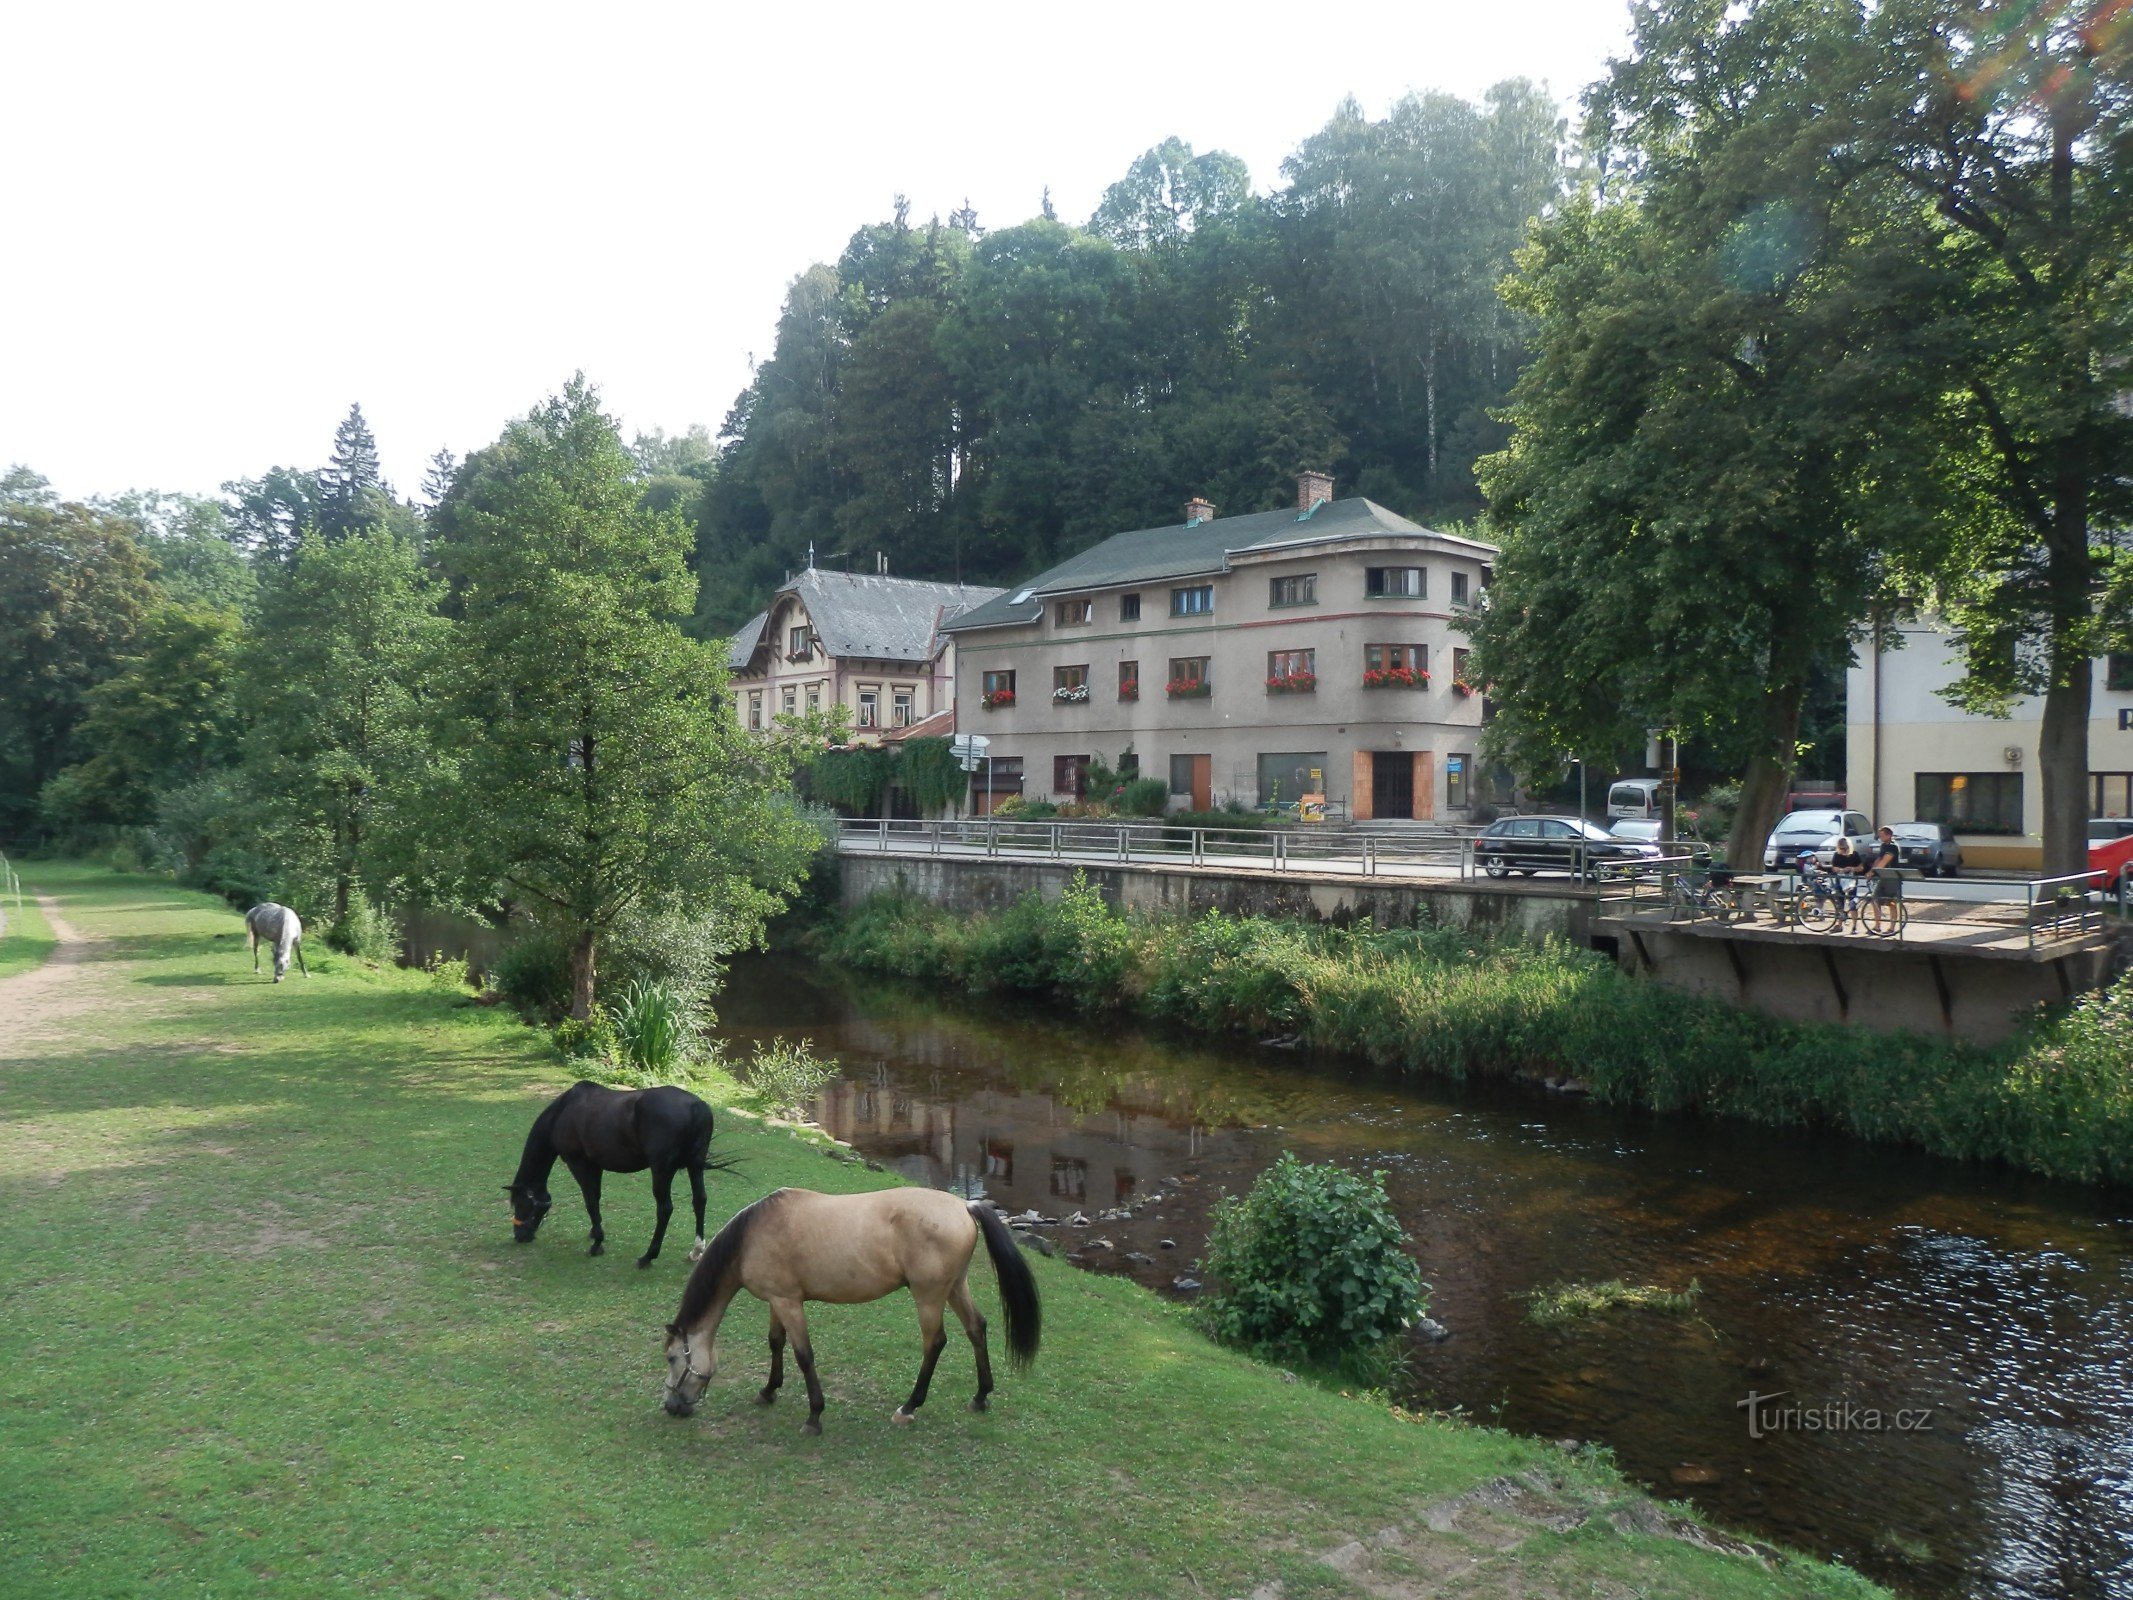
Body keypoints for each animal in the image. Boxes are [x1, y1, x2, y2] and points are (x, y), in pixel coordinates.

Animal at [503, 1083, 720, 1271]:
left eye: (520, 1204)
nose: (519, 1236)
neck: (563, 1112)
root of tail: (696, 1106)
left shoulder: (577, 1162)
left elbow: (590, 1201)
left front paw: (597, 1244)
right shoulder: (595, 1165)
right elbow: (596, 1197)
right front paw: (594, 1232)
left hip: (661, 1171)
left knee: (665, 1209)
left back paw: (648, 1256)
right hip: (695, 1166)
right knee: (699, 1200)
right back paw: (697, 1250)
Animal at [656, 1194, 1040, 1442]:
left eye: (673, 1357)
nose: (671, 1406)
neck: (752, 1236)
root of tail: (964, 1205)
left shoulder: (789, 1303)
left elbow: (803, 1356)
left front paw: (814, 1416)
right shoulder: (778, 1301)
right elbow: (776, 1343)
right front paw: (768, 1391)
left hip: (929, 1296)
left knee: (935, 1343)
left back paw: (909, 1406)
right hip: (955, 1287)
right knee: (977, 1328)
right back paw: (981, 1396)